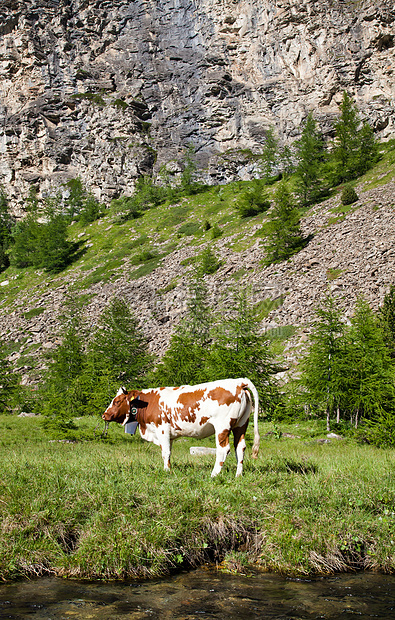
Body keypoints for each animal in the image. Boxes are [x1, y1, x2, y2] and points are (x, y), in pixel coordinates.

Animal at [103, 376, 262, 478]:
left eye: (117, 401)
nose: (104, 415)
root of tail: (239, 382)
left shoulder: (162, 429)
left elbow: (165, 452)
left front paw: (166, 471)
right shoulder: (169, 435)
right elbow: (169, 453)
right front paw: (169, 468)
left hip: (222, 426)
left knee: (223, 449)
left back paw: (214, 474)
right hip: (241, 425)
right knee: (240, 448)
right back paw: (238, 475)